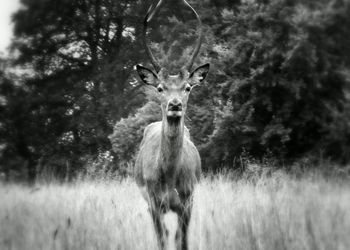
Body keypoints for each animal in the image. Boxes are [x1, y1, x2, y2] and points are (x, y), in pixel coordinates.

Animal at [135, 0, 209, 249]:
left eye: (188, 87)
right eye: (160, 88)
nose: (175, 104)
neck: (168, 179)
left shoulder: (187, 200)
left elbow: (182, 240)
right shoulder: (153, 202)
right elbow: (162, 239)